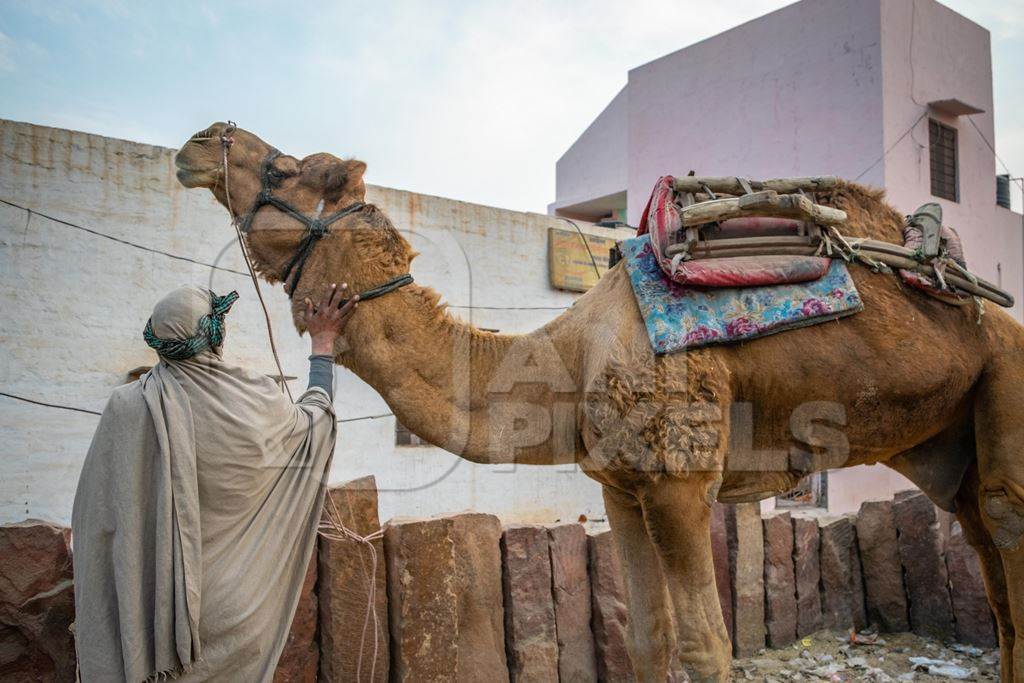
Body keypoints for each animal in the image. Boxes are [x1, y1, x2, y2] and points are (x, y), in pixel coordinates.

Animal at [176, 124, 1024, 683]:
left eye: (288, 167)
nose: (200, 140)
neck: (569, 355)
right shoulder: (621, 484)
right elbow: (645, 638)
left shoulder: (680, 473)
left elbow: (706, 646)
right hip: (951, 437)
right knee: (991, 566)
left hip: (1006, 375)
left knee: (1005, 523)